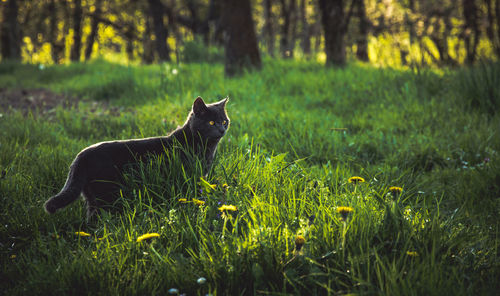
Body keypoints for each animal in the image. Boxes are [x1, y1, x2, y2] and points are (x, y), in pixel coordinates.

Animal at [44, 96, 229, 219]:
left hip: (93, 196)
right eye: (211, 122)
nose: (222, 130)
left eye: (224, 121)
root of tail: (81, 156)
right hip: (106, 195)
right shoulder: (188, 177)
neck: (205, 149)